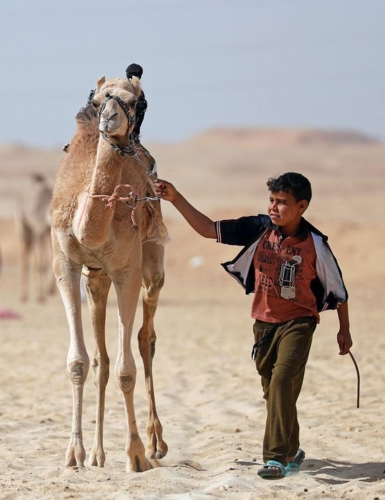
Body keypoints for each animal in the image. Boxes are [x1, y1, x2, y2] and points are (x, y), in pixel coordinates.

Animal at [17, 174, 56, 302]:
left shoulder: (47, 232)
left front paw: (50, 290)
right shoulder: (38, 230)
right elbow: (40, 264)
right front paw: (40, 296)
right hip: (23, 226)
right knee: (25, 256)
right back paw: (24, 296)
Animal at [49, 75, 168, 472]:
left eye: (134, 102)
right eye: (100, 99)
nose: (109, 118)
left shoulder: (126, 270)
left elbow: (125, 369)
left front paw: (135, 454)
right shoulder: (66, 265)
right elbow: (79, 362)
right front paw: (74, 453)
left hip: (152, 260)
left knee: (146, 337)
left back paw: (155, 444)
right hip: (95, 278)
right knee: (101, 358)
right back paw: (98, 455)